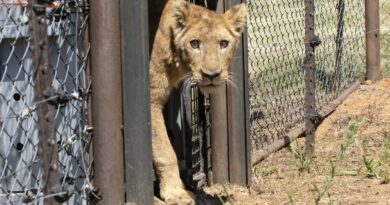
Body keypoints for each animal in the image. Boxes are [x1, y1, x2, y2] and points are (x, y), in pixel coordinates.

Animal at [149, 0, 247, 203]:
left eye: (223, 43)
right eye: (194, 44)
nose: (212, 75)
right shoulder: (151, 98)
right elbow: (165, 151)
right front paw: (175, 193)